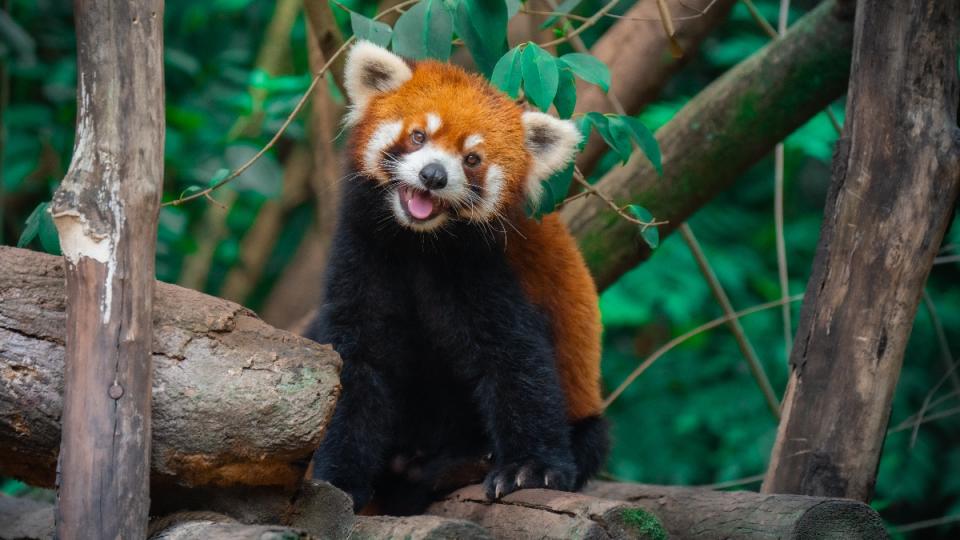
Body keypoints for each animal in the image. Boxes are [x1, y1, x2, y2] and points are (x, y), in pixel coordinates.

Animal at [308, 40, 608, 512]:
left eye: (472, 159)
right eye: (418, 136)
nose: (433, 175)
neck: (419, 243)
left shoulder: (488, 270)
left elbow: (515, 360)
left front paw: (529, 468)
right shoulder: (363, 252)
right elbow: (357, 361)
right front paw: (337, 480)